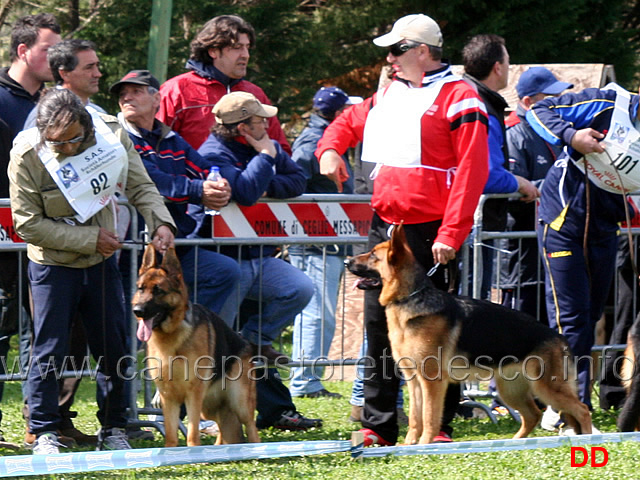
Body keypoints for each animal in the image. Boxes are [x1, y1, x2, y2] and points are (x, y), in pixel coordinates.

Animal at [132, 246, 260, 448]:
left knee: (252, 429)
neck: (172, 335)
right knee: (223, 429)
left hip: (239, 403)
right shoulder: (168, 397)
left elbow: (192, 434)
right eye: (140, 288)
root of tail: (245, 342)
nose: (137, 310)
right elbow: (171, 435)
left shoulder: (192, 395)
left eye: (158, 290)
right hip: (209, 408)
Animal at [348, 224, 592, 442]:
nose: (347, 261)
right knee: (533, 415)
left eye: (373, 255)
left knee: (581, 410)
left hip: (546, 388)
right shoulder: (414, 381)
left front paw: (424, 446)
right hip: (510, 390)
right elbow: (416, 419)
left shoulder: (431, 382)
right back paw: (515, 442)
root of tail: (560, 338)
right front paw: (408, 446)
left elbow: (429, 418)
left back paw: (588, 440)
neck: (410, 297)